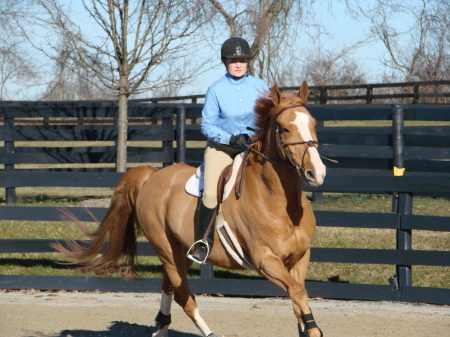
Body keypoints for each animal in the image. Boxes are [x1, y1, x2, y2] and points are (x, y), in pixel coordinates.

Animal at [53, 81, 324, 336]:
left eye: (313, 123)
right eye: (284, 128)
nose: (317, 173)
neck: (279, 201)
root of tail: (153, 176)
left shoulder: (300, 258)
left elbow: (297, 300)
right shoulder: (265, 260)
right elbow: (298, 293)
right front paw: (313, 330)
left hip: (182, 253)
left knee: (168, 287)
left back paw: (161, 328)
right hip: (167, 249)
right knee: (184, 297)